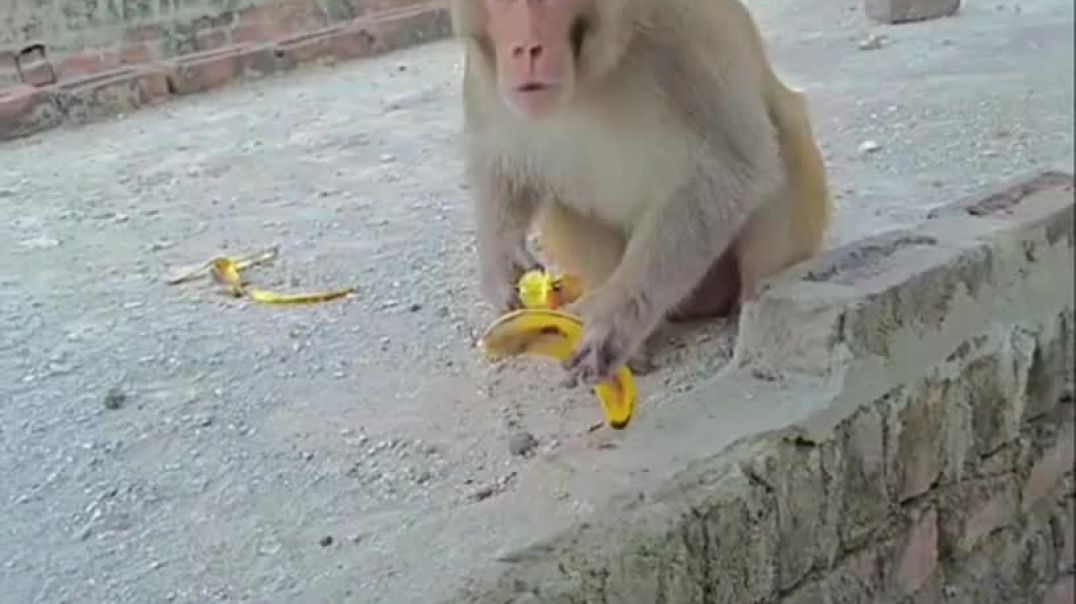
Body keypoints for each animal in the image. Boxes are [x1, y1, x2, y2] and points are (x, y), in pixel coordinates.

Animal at [451, 0, 832, 386]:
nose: (526, 49)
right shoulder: (485, 79)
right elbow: (501, 164)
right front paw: (501, 263)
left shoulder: (683, 36)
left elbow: (728, 171)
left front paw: (615, 321)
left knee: (783, 134)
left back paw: (752, 315)